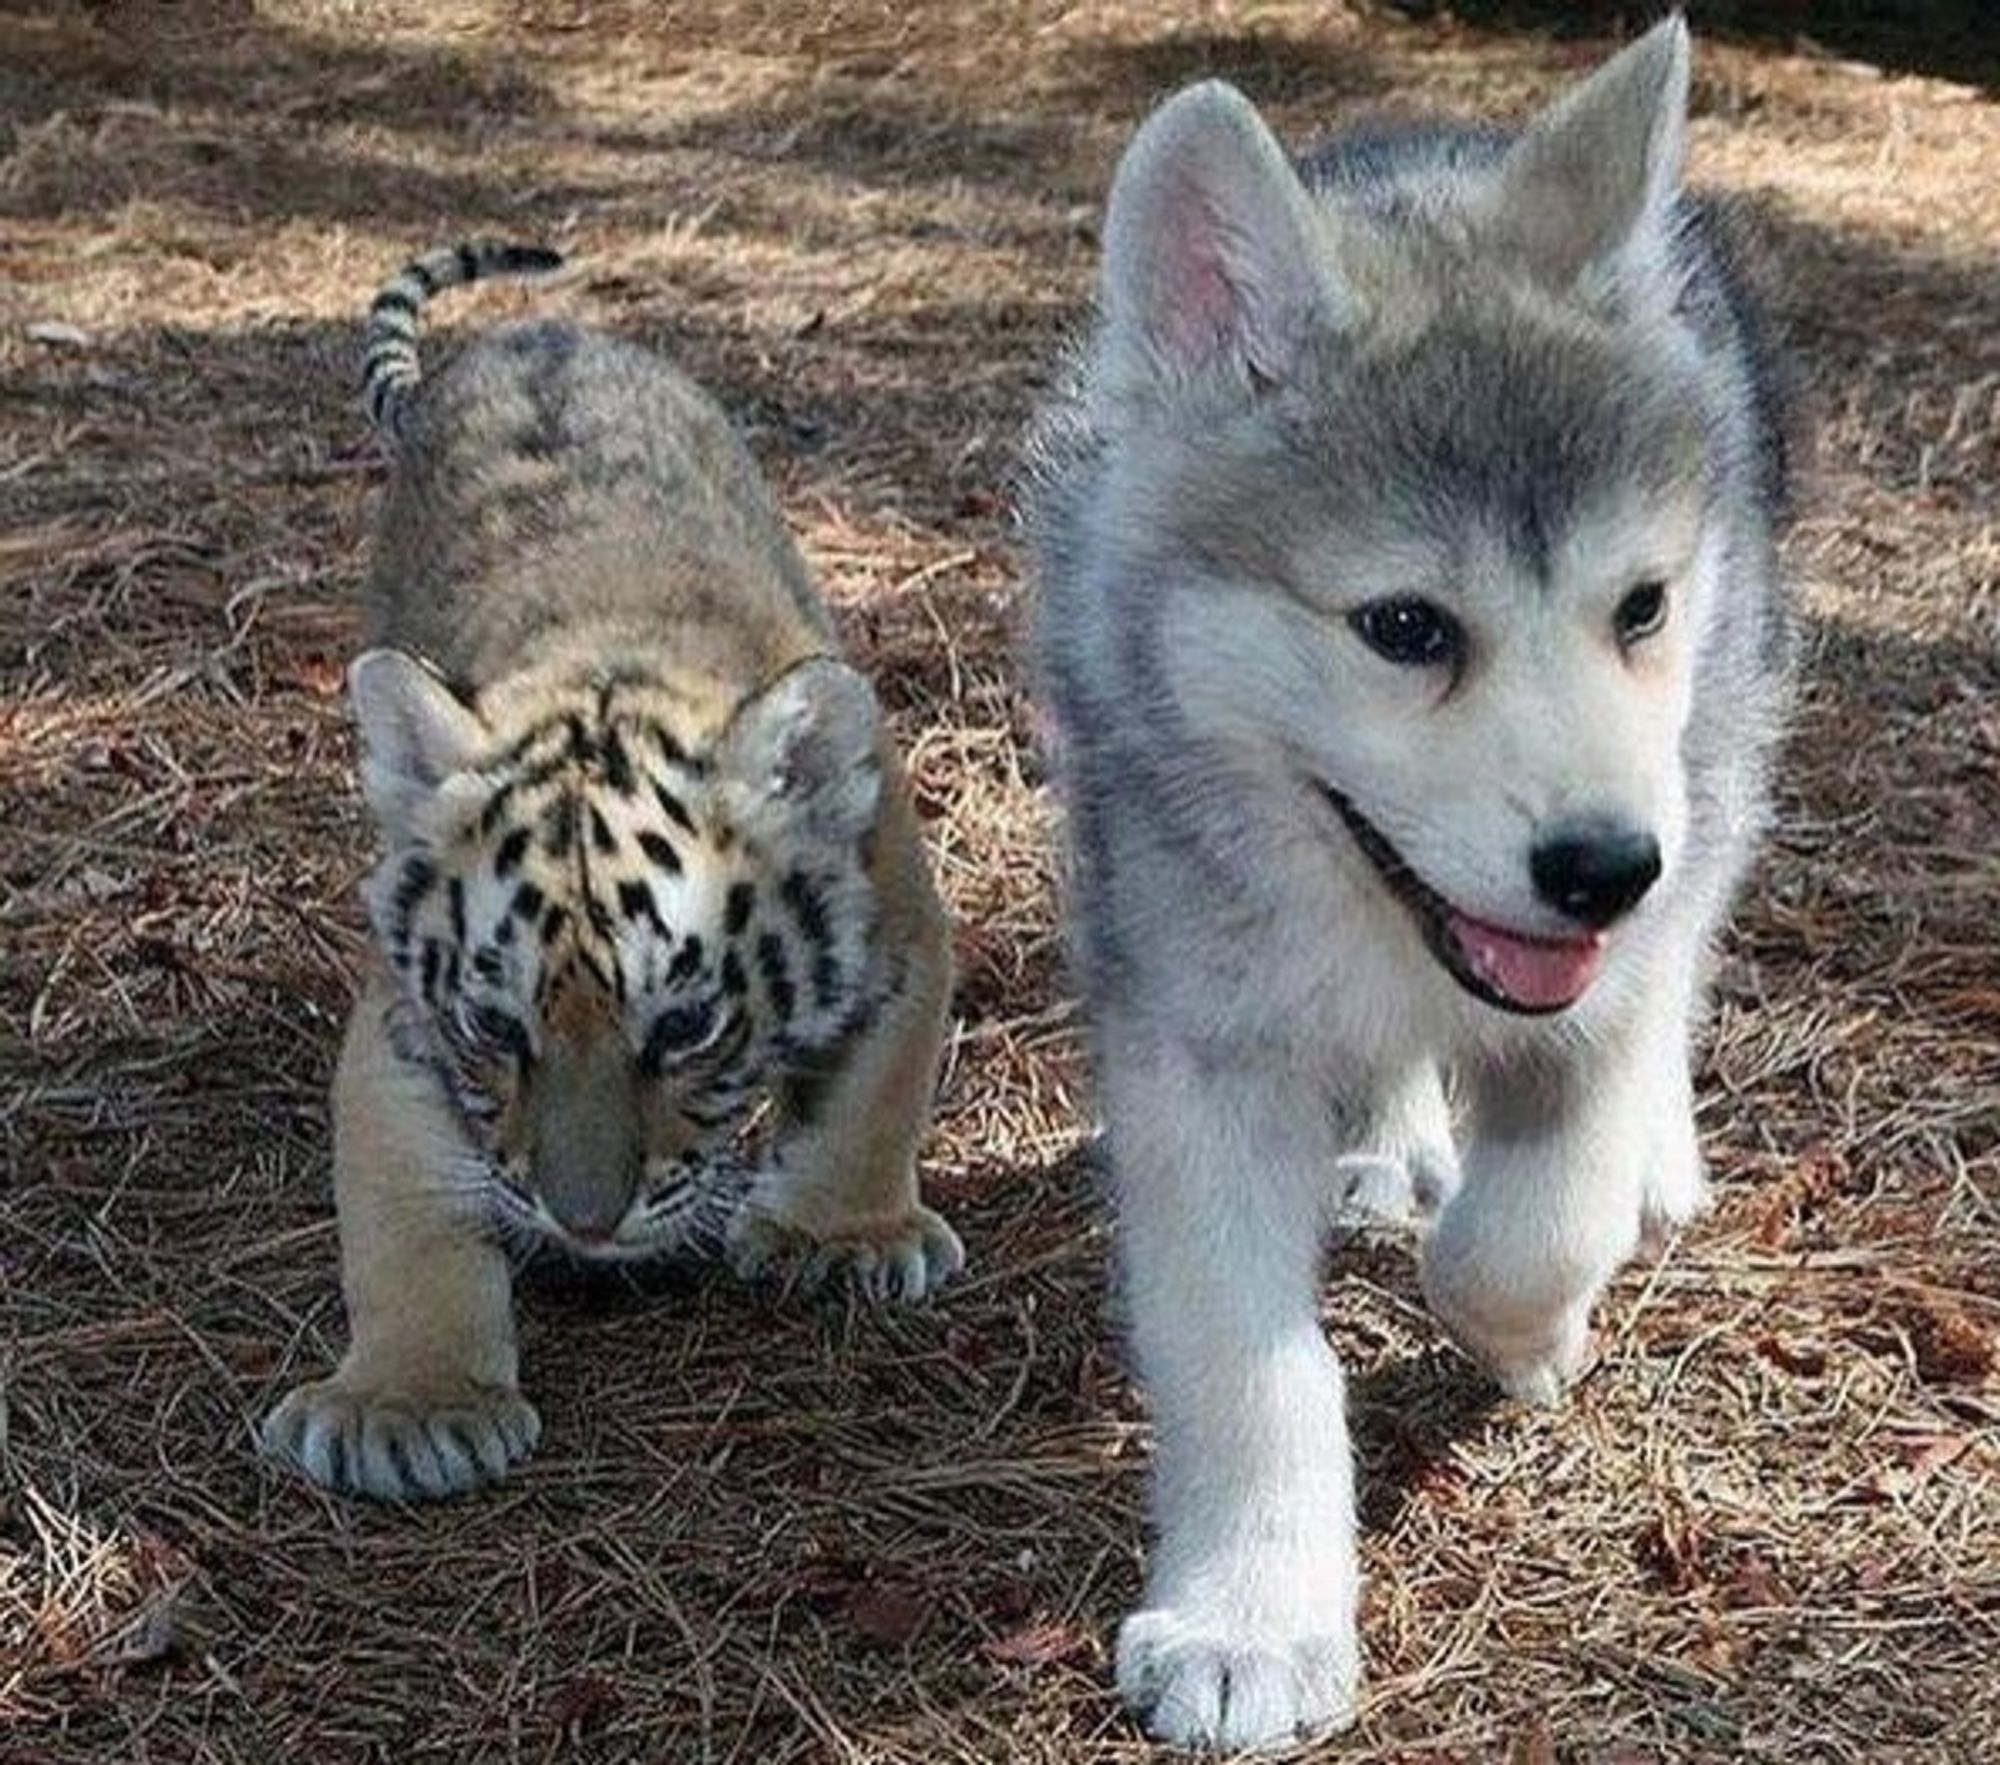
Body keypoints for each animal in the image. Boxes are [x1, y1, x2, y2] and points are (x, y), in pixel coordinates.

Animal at [1024, 17, 1792, 1744]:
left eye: (1639, 604)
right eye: (1403, 628)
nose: (1602, 872)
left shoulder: (1611, 963)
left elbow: (1531, 1225)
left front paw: (1536, 1324)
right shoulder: (1194, 1043)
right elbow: (1247, 1360)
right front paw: (1251, 1621)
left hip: (1722, 757)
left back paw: (1651, 1160)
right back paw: (1386, 1145)